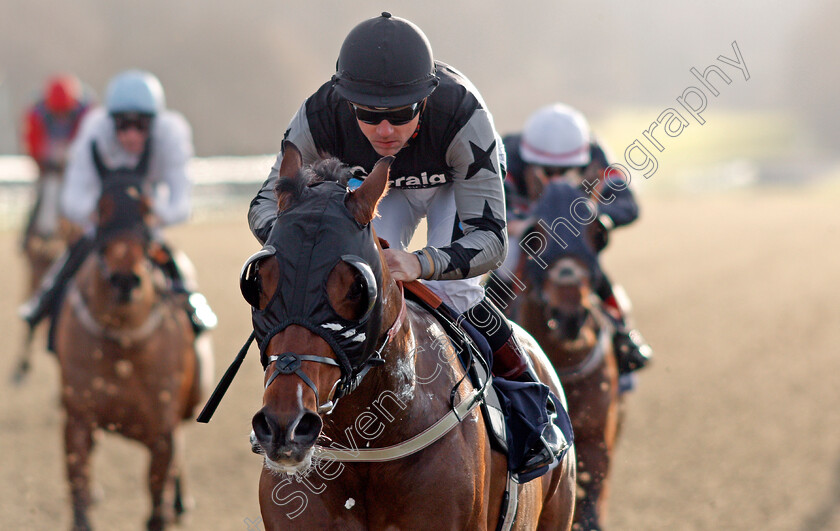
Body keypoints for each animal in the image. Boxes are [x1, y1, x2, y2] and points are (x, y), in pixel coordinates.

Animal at [55, 178, 203, 531]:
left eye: (147, 209)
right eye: (101, 208)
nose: (124, 279)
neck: (122, 343)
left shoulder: (162, 434)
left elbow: (157, 508)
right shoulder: (78, 420)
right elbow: (80, 498)